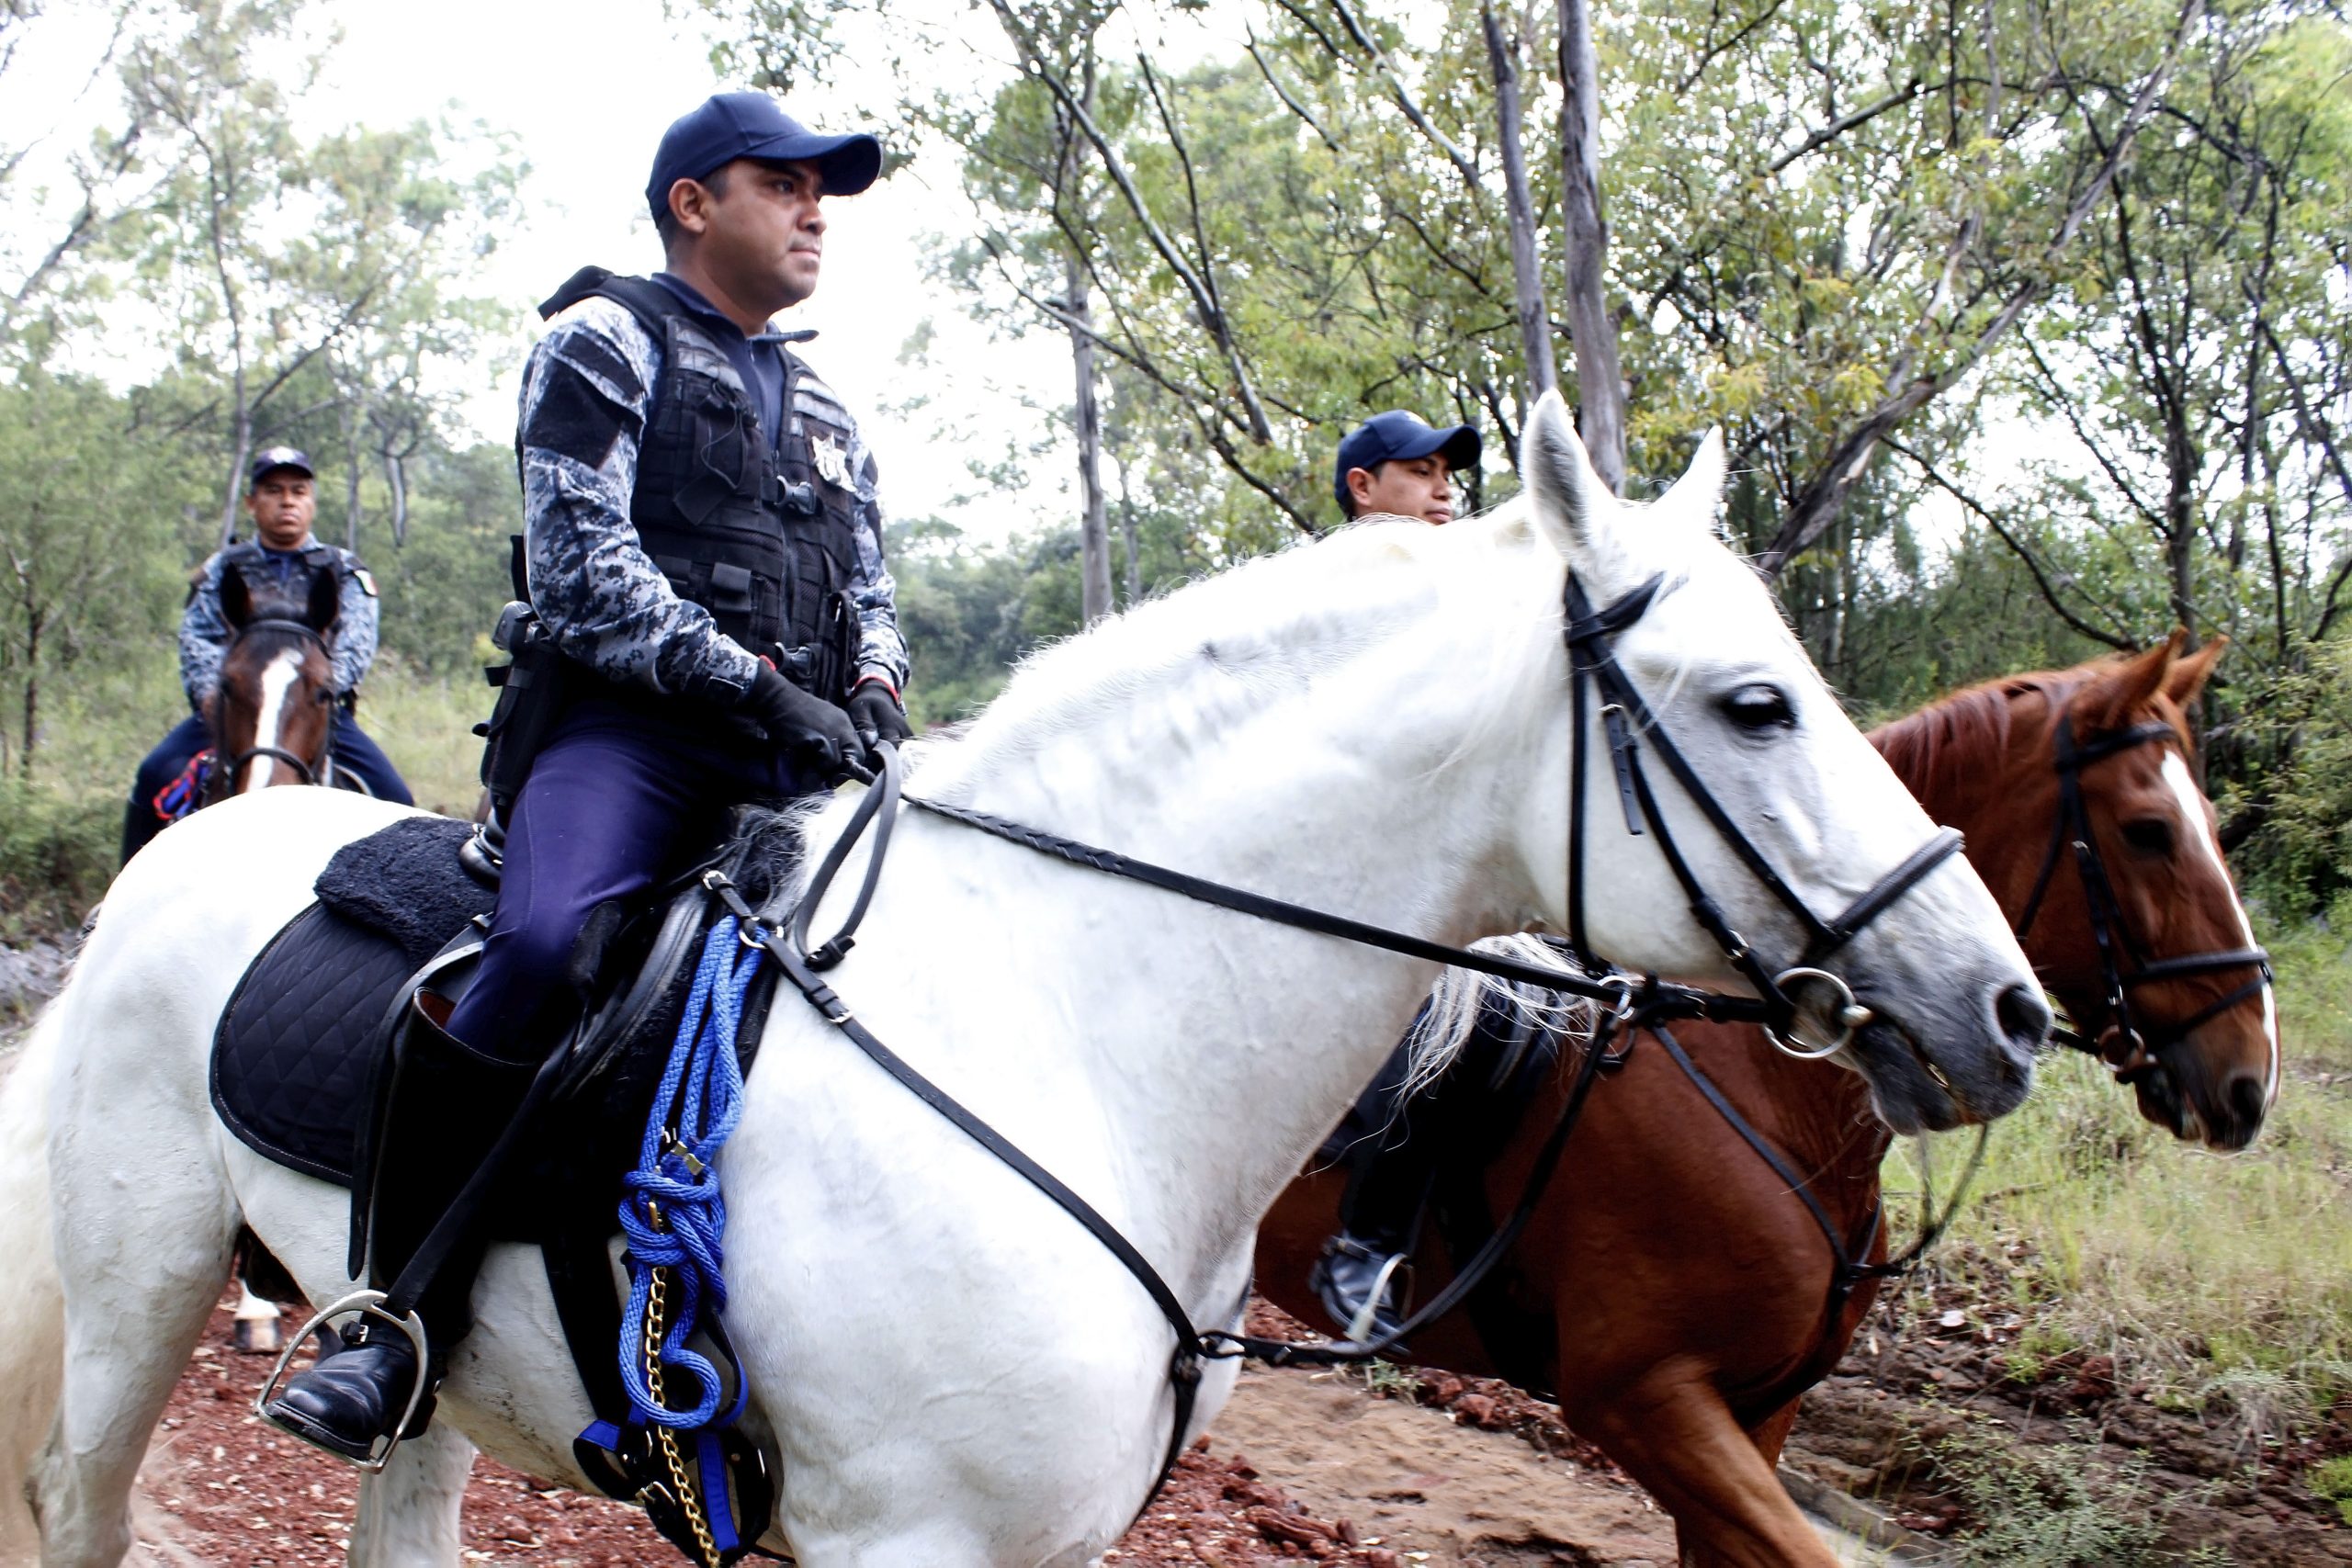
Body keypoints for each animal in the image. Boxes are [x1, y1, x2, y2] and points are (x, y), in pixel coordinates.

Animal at [5, 400, 2041, 1568]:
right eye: (1754, 702)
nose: (2005, 1010)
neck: (1073, 1027)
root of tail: (207, 845)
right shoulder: (905, 1538)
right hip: (132, 1308)